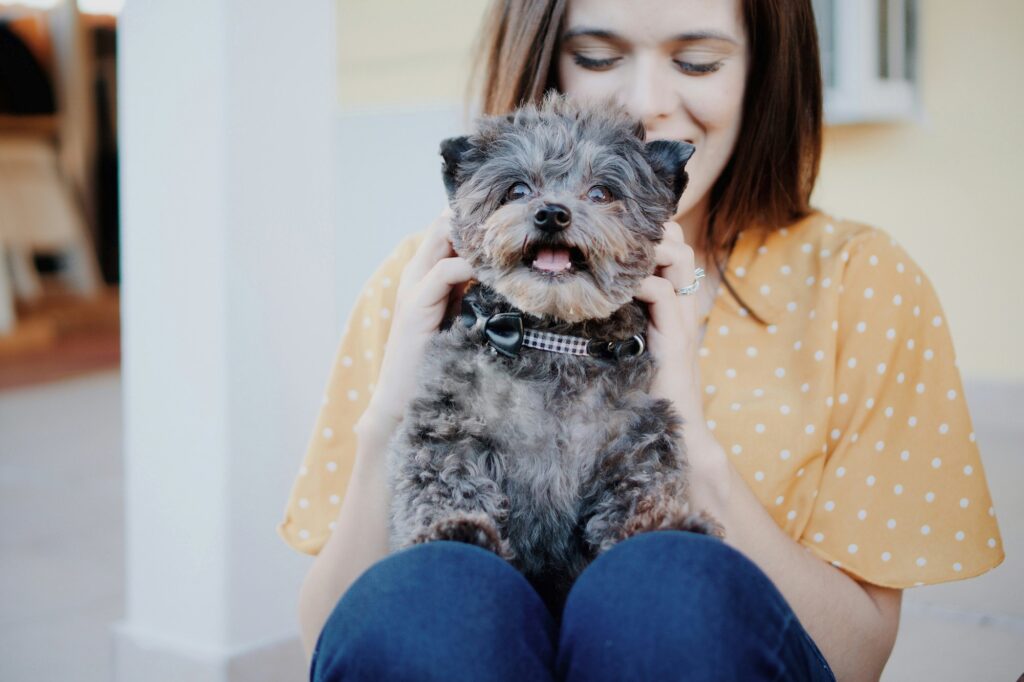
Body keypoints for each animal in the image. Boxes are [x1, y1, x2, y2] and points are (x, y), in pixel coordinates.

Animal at [387, 91, 724, 610]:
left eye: (601, 193)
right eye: (517, 190)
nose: (551, 213)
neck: (555, 341)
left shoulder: (637, 442)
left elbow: (639, 495)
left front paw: (667, 527)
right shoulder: (448, 428)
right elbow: (445, 487)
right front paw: (455, 531)